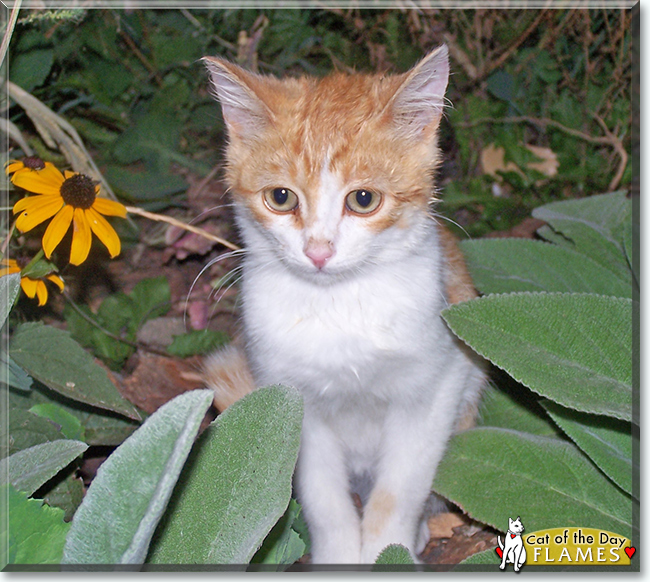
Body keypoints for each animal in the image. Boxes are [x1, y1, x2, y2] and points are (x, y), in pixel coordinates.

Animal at [204, 45, 486, 564]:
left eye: (363, 199)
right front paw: (338, 554)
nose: (318, 250)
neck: (337, 305)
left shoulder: (440, 381)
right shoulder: (288, 399)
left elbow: (400, 487)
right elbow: (321, 494)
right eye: (281, 197)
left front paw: (387, 550)